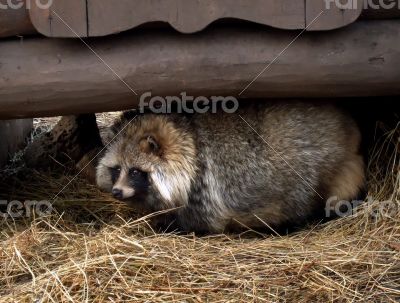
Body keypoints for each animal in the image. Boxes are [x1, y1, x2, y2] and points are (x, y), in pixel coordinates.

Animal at [97, 103, 366, 234]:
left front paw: (169, 227)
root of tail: (348, 129)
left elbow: (198, 223)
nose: (117, 192)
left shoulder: (202, 190)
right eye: (116, 169)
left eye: (135, 172)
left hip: (312, 171)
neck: (189, 140)